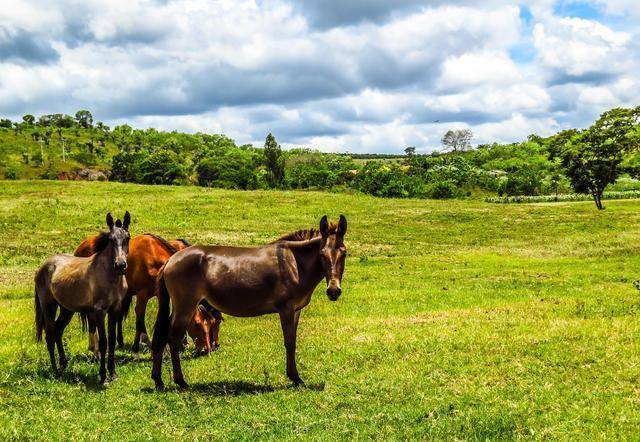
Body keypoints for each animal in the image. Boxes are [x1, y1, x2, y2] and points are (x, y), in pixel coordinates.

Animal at [35, 212, 131, 384]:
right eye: (111, 239)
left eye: (127, 238)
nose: (120, 265)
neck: (110, 277)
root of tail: (43, 266)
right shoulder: (99, 311)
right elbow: (103, 342)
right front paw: (103, 376)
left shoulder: (115, 309)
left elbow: (112, 340)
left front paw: (113, 373)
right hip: (48, 306)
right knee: (50, 334)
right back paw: (55, 369)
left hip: (66, 309)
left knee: (58, 331)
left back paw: (63, 364)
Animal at [74, 233, 220, 354]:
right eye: (197, 323)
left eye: (213, 322)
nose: (207, 349)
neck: (154, 259)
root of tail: (80, 248)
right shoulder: (142, 295)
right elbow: (140, 317)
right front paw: (139, 346)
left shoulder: (162, 295)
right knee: (92, 317)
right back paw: (95, 348)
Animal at [152, 215, 348, 390]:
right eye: (322, 254)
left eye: (344, 253)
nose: (333, 291)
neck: (295, 264)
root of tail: (171, 260)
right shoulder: (286, 309)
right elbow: (289, 342)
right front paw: (295, 378)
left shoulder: (296, 311)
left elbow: (293, 341)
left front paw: (295, 377)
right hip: (185, 306)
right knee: (173, 338)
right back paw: (180, 381)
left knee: (163, 335)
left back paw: (159, 381)